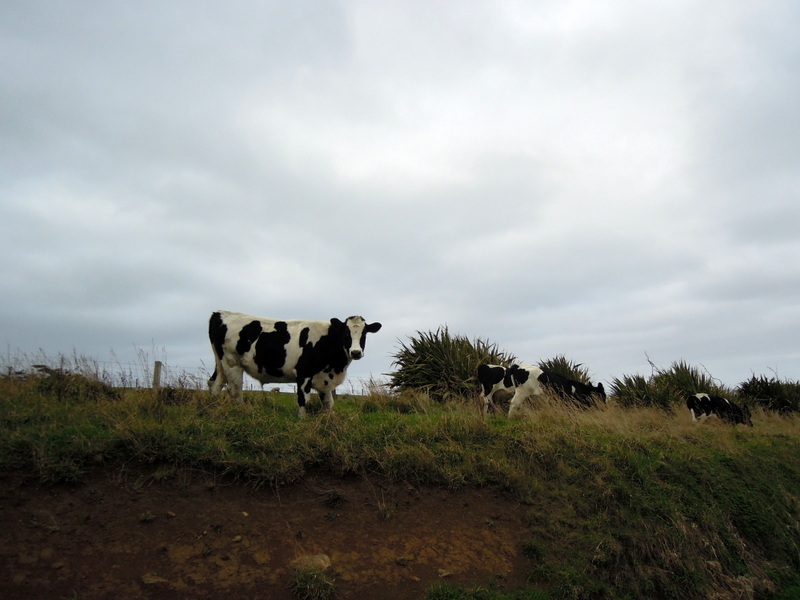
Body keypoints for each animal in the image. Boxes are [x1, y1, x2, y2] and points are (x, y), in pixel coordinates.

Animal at [208, 310, 382, 418]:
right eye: (346, 333)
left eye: (364, 333)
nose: (356, 352)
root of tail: (219, 313)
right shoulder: (304, 373)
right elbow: (303, 400)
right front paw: (302, 420)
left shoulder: (325, 380)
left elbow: (328, 404)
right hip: (232, 363)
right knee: (235, 390)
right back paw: (241, 412)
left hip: (221, 362)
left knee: (214, 384)